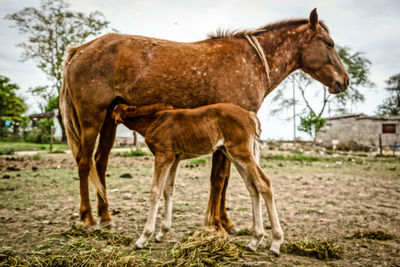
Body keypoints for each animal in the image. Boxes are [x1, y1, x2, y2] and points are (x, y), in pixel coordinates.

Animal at [111, 102, 282, 255]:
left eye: (113, 111)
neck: (154, 120)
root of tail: (249, 115)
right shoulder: (174, 159)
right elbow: (168, 190)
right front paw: (162, 232)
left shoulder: (163, 156)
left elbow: (155, 191)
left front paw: (142, 238)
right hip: (233, 155)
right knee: (252, 187)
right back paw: (254, 241)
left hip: (241, 153)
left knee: (263, 183)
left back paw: (276, 243)